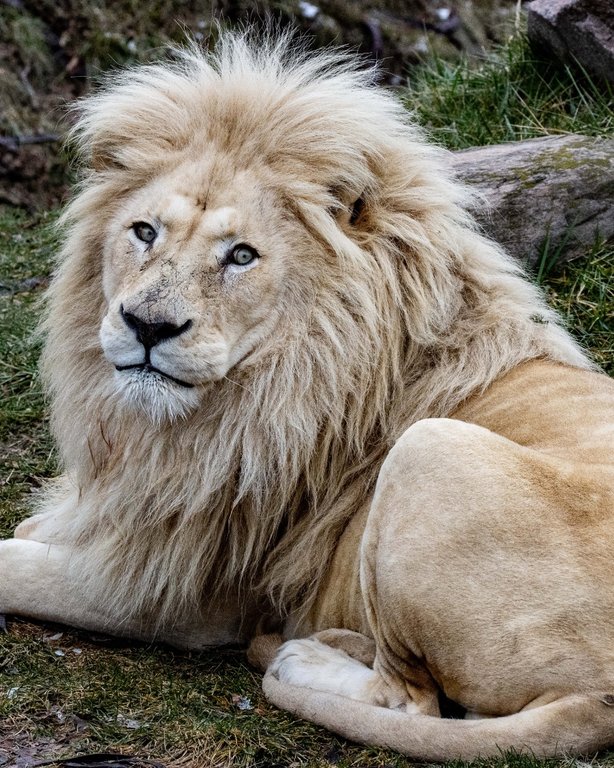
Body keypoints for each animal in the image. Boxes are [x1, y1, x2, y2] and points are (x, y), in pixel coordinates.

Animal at [2, 31, 614, 760]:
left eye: (241, 255)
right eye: (144, 232)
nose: (147, 326)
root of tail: (599, 698)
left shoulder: (176, 590)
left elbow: (14, 564)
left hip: (430, 446)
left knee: (411, 699)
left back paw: (302, 657)